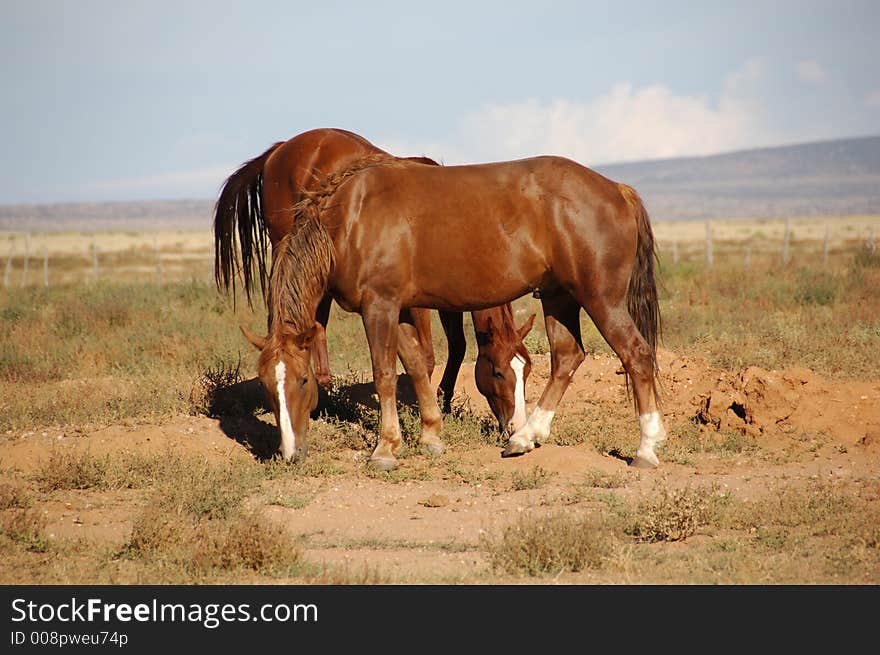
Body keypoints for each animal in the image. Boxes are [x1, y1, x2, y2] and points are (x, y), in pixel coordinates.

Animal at [213, 127, 536, 438]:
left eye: (527, 370)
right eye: (498, 372)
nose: (514, 427)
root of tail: (279, 149)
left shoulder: (450, 299)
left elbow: (456, 346)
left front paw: (442, 403)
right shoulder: (415, 304)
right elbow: (426, 356)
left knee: (316, 324)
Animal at [244, 154, 664, 472]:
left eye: (303, 380)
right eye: (265, 385)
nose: (290, 454)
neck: (349, 217)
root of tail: (617, 190)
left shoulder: (379, 306)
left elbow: (384, 374)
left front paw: (384, 448)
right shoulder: (398, 309)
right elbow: (415, 365)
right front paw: (431, 435)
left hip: (601, 300)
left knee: (637, 356)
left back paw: (645, 447)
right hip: (558, 298)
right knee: (567, 357)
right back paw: (525, 437)